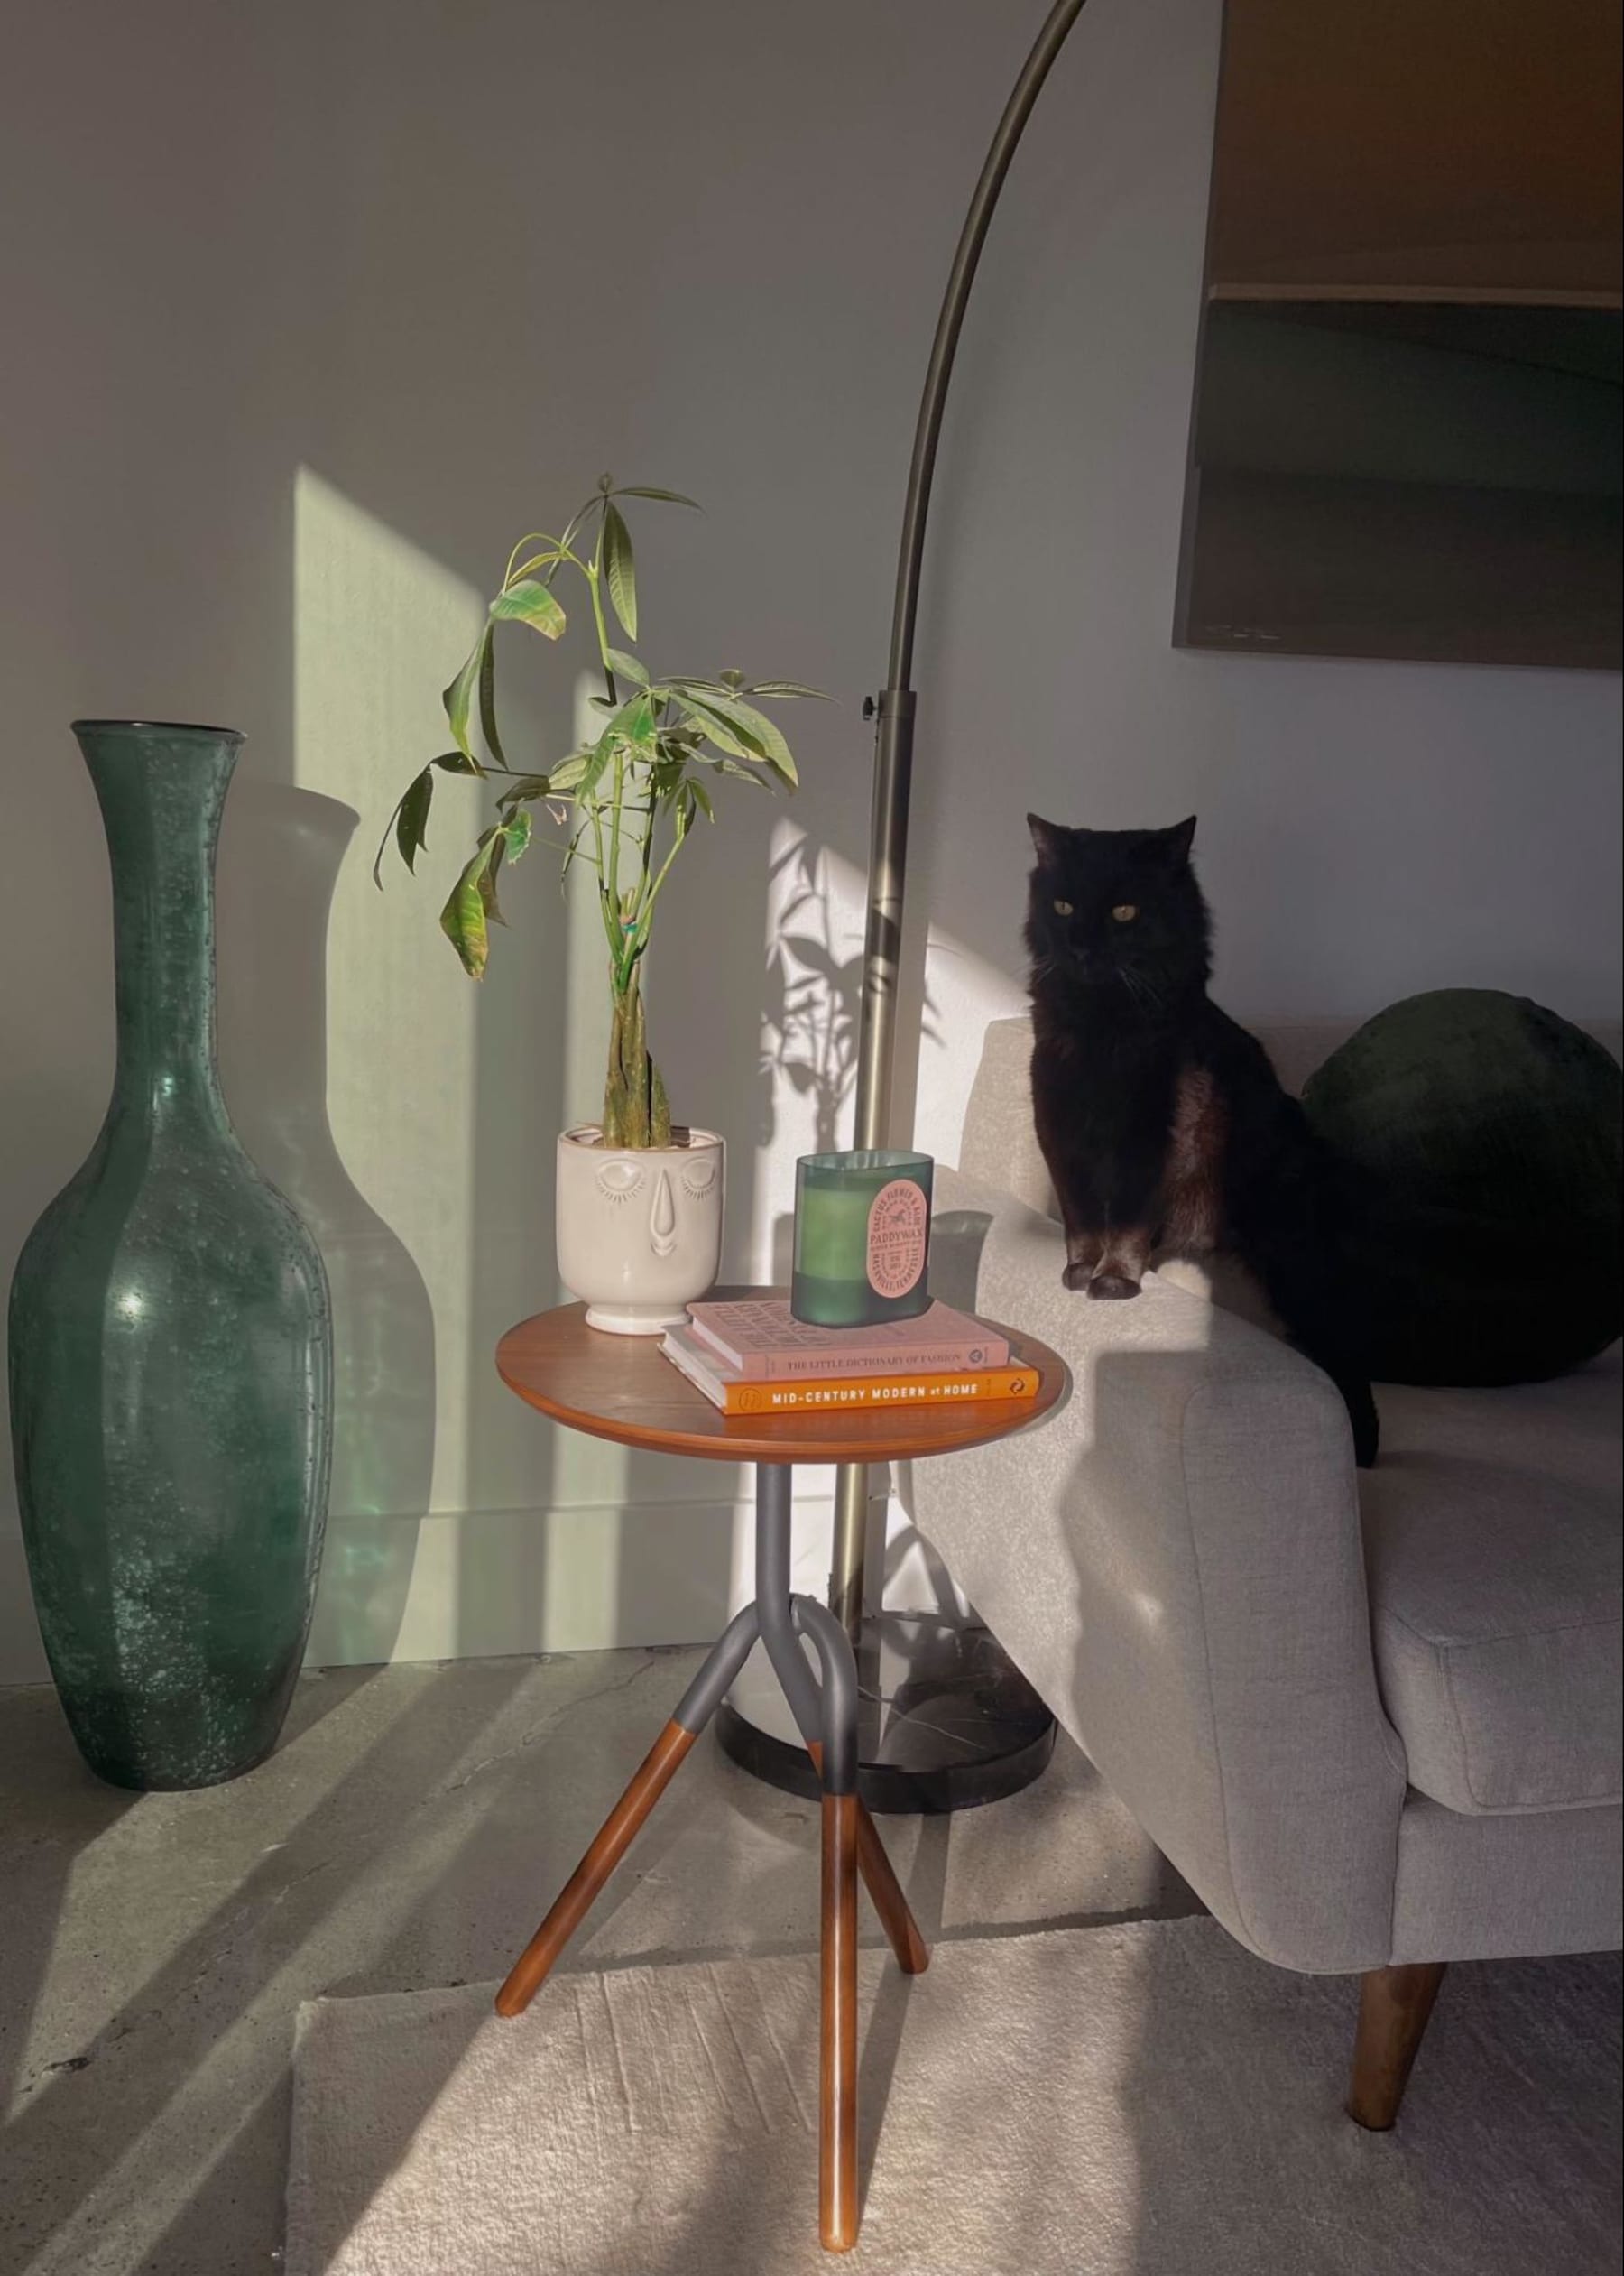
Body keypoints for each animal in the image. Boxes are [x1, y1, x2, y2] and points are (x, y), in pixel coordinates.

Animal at [1019, 810, 1373, 1466]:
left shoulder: (1154, 1143)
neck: (1102, 1032)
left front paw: (1115, 1281)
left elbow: (1127, 1223)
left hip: (1295, 1263)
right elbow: (1082, 1217)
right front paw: (1079, 1271)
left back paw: (1364, 1449)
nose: (1080, 947)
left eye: (1124, 912)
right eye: (1062, 905)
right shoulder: (1059, 1133)